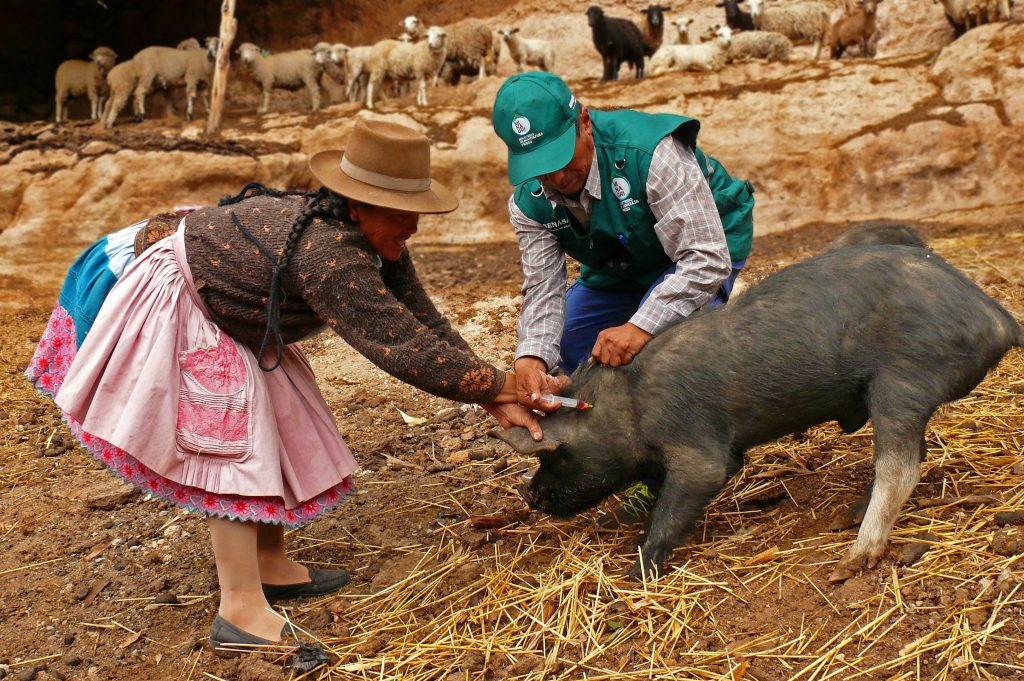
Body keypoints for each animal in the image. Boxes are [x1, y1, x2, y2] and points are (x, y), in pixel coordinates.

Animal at [491, 244, 1019, 577]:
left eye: (554, 455)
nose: (529, 494)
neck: (626, 404)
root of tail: (999, 319)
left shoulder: (698, 448)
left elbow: (686, 495)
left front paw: (635, 572)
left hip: (902, 382)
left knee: (900, 466)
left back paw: (849, 562)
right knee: (912, 457)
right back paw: (845, 518)